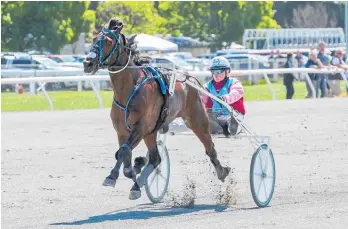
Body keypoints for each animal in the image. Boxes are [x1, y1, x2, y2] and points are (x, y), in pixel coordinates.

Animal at [83, 18, 231, 200]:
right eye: (94, 39)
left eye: (108, 41)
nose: (88, 63)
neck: (129, 89)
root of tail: (189, 78)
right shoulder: (122, 131)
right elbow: (125, 156)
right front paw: (134, 172)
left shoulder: (141, 127)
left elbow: (123, 151)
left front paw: (112, 176)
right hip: (152, 133)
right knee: (155, 159)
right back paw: (139, 180)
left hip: (197, 121)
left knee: (210, 147)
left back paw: (222, 171)